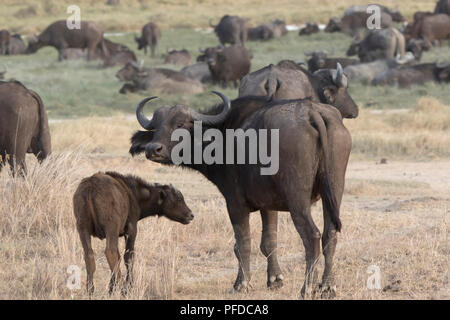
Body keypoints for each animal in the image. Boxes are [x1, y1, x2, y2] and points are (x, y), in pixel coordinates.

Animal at [129, 90, 352, 300]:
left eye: (181, 124)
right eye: (155, 127)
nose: (153, 149)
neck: (224, 136)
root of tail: (311, 112)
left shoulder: (235, 203)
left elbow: (242, 243)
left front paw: (241, 284)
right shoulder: (268, 205)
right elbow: (269, 241)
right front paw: (275, 280)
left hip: (298, 200)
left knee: (312, 237)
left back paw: (306, 289)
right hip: (334, 192)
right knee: (330, 235)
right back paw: (327, 287)